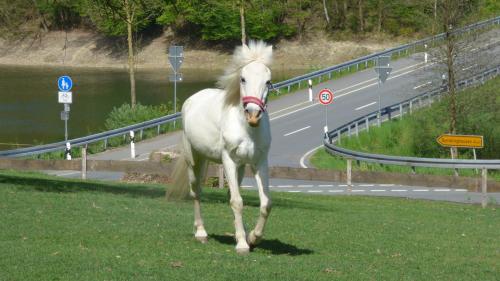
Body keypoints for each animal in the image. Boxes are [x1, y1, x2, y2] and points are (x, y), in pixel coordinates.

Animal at [169, 41, 274, 254]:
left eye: (268, 81)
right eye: (243, 78)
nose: (253, 115)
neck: (246, 129)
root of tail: (191, 100)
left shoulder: (259, 162)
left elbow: (265, 203)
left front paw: (252, 238)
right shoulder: (229, 161)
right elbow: (237, 201)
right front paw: (242, 244)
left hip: (240, 168)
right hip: (195, 161)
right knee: (196, 192)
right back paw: (201, 233)